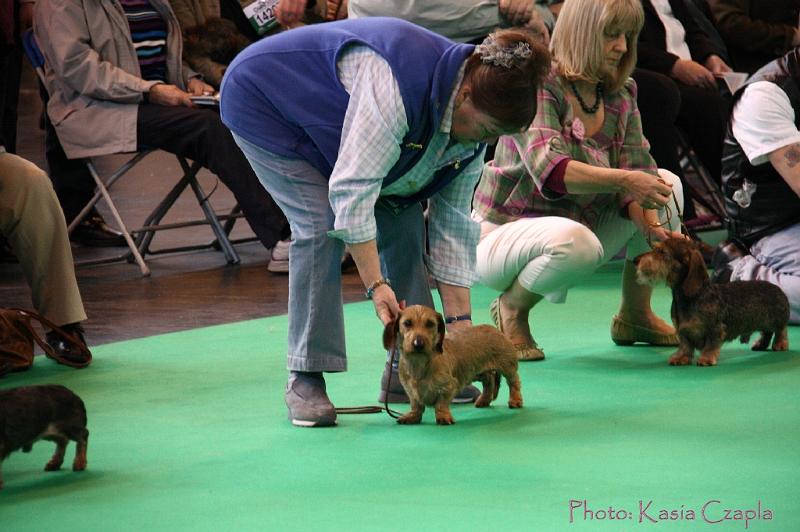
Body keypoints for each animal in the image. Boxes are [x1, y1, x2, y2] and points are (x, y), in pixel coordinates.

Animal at [382, 306, 524, 426]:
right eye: (407, 323)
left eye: (430, 324)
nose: (418, 343)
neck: (419, 362)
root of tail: (496, 330)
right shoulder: (411, 391)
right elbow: (416, 405)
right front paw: (412, 416)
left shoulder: (448, 386)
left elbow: (441, 404)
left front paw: (443, 417)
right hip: (478, 373)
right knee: (489, 382)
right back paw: (484, 400)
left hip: (507, 366)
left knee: (514, 382)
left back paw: (515, 400)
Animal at [636, 238, 792, 366]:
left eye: (662, 252)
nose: (635, 260)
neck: (692, 296)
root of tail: (778, 288)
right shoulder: (682, 331)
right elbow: (685, 345)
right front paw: (681, 357)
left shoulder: (716, 329)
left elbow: (711, 345)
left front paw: (706, 358)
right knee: (767, 333)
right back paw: (760, 344)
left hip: (777, 320)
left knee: (780, 331)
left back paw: (780, 344)